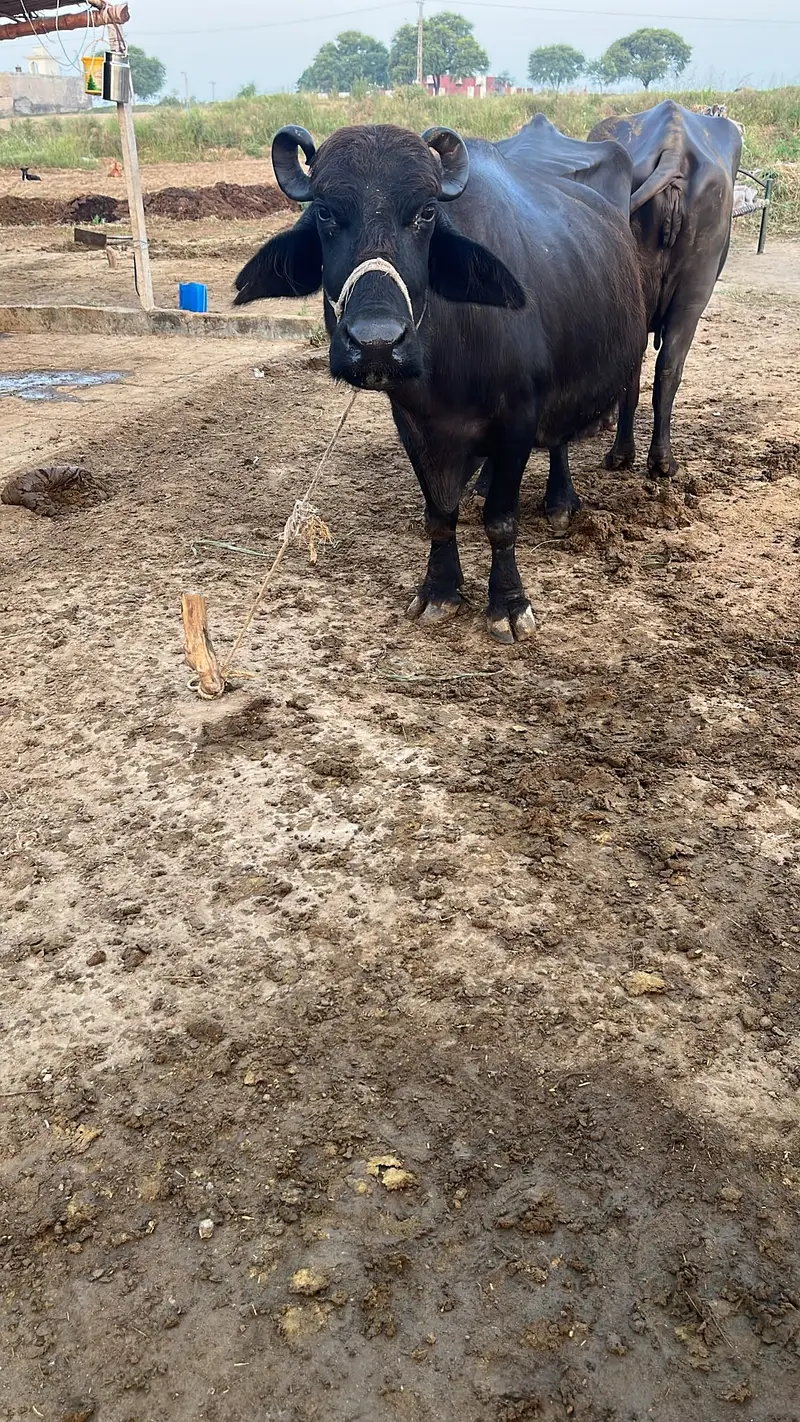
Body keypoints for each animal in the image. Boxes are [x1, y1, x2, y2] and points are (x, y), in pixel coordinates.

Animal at [235, 118, 646, 641]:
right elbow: (438, 514)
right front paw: (440, 590)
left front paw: (508, 604)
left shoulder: (520, 417)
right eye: (326, 211)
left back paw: (559, 502)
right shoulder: (413, 423)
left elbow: (501, 521)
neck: (450, 367)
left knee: (558, 441)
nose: (376, 343)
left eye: (426, 213)